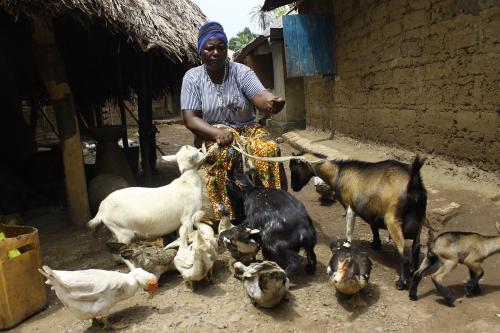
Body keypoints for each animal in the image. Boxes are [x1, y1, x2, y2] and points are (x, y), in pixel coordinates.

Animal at [292, 153, 428, 288]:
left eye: (294, 169)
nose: (294, 187)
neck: (338, 172)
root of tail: (414, 181)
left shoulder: (349, 206)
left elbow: (349, 230)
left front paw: (347, 246)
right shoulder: (371, 210)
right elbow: (373, 226)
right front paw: (376, 244)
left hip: (393, 220)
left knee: (405, 253)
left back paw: (402, 282)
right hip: (421, 218)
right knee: (416, 247)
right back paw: (413, 271)